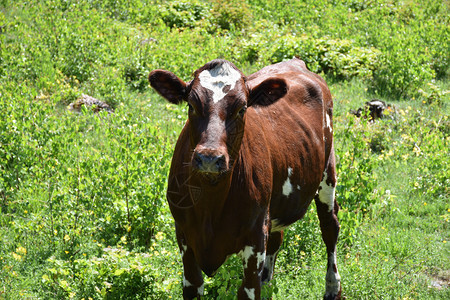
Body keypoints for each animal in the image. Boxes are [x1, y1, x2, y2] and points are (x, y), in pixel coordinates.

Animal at [149, 57, 340, 298]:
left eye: (242, 109)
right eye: (191, 105)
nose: (209, 158)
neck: (210, 203)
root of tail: (296, 62)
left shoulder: (255, 239)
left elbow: (249, 289)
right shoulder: (184, 236)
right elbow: (193, 284)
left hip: (328, 173)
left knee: (330, 228)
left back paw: (333, 288)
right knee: (277, 238)